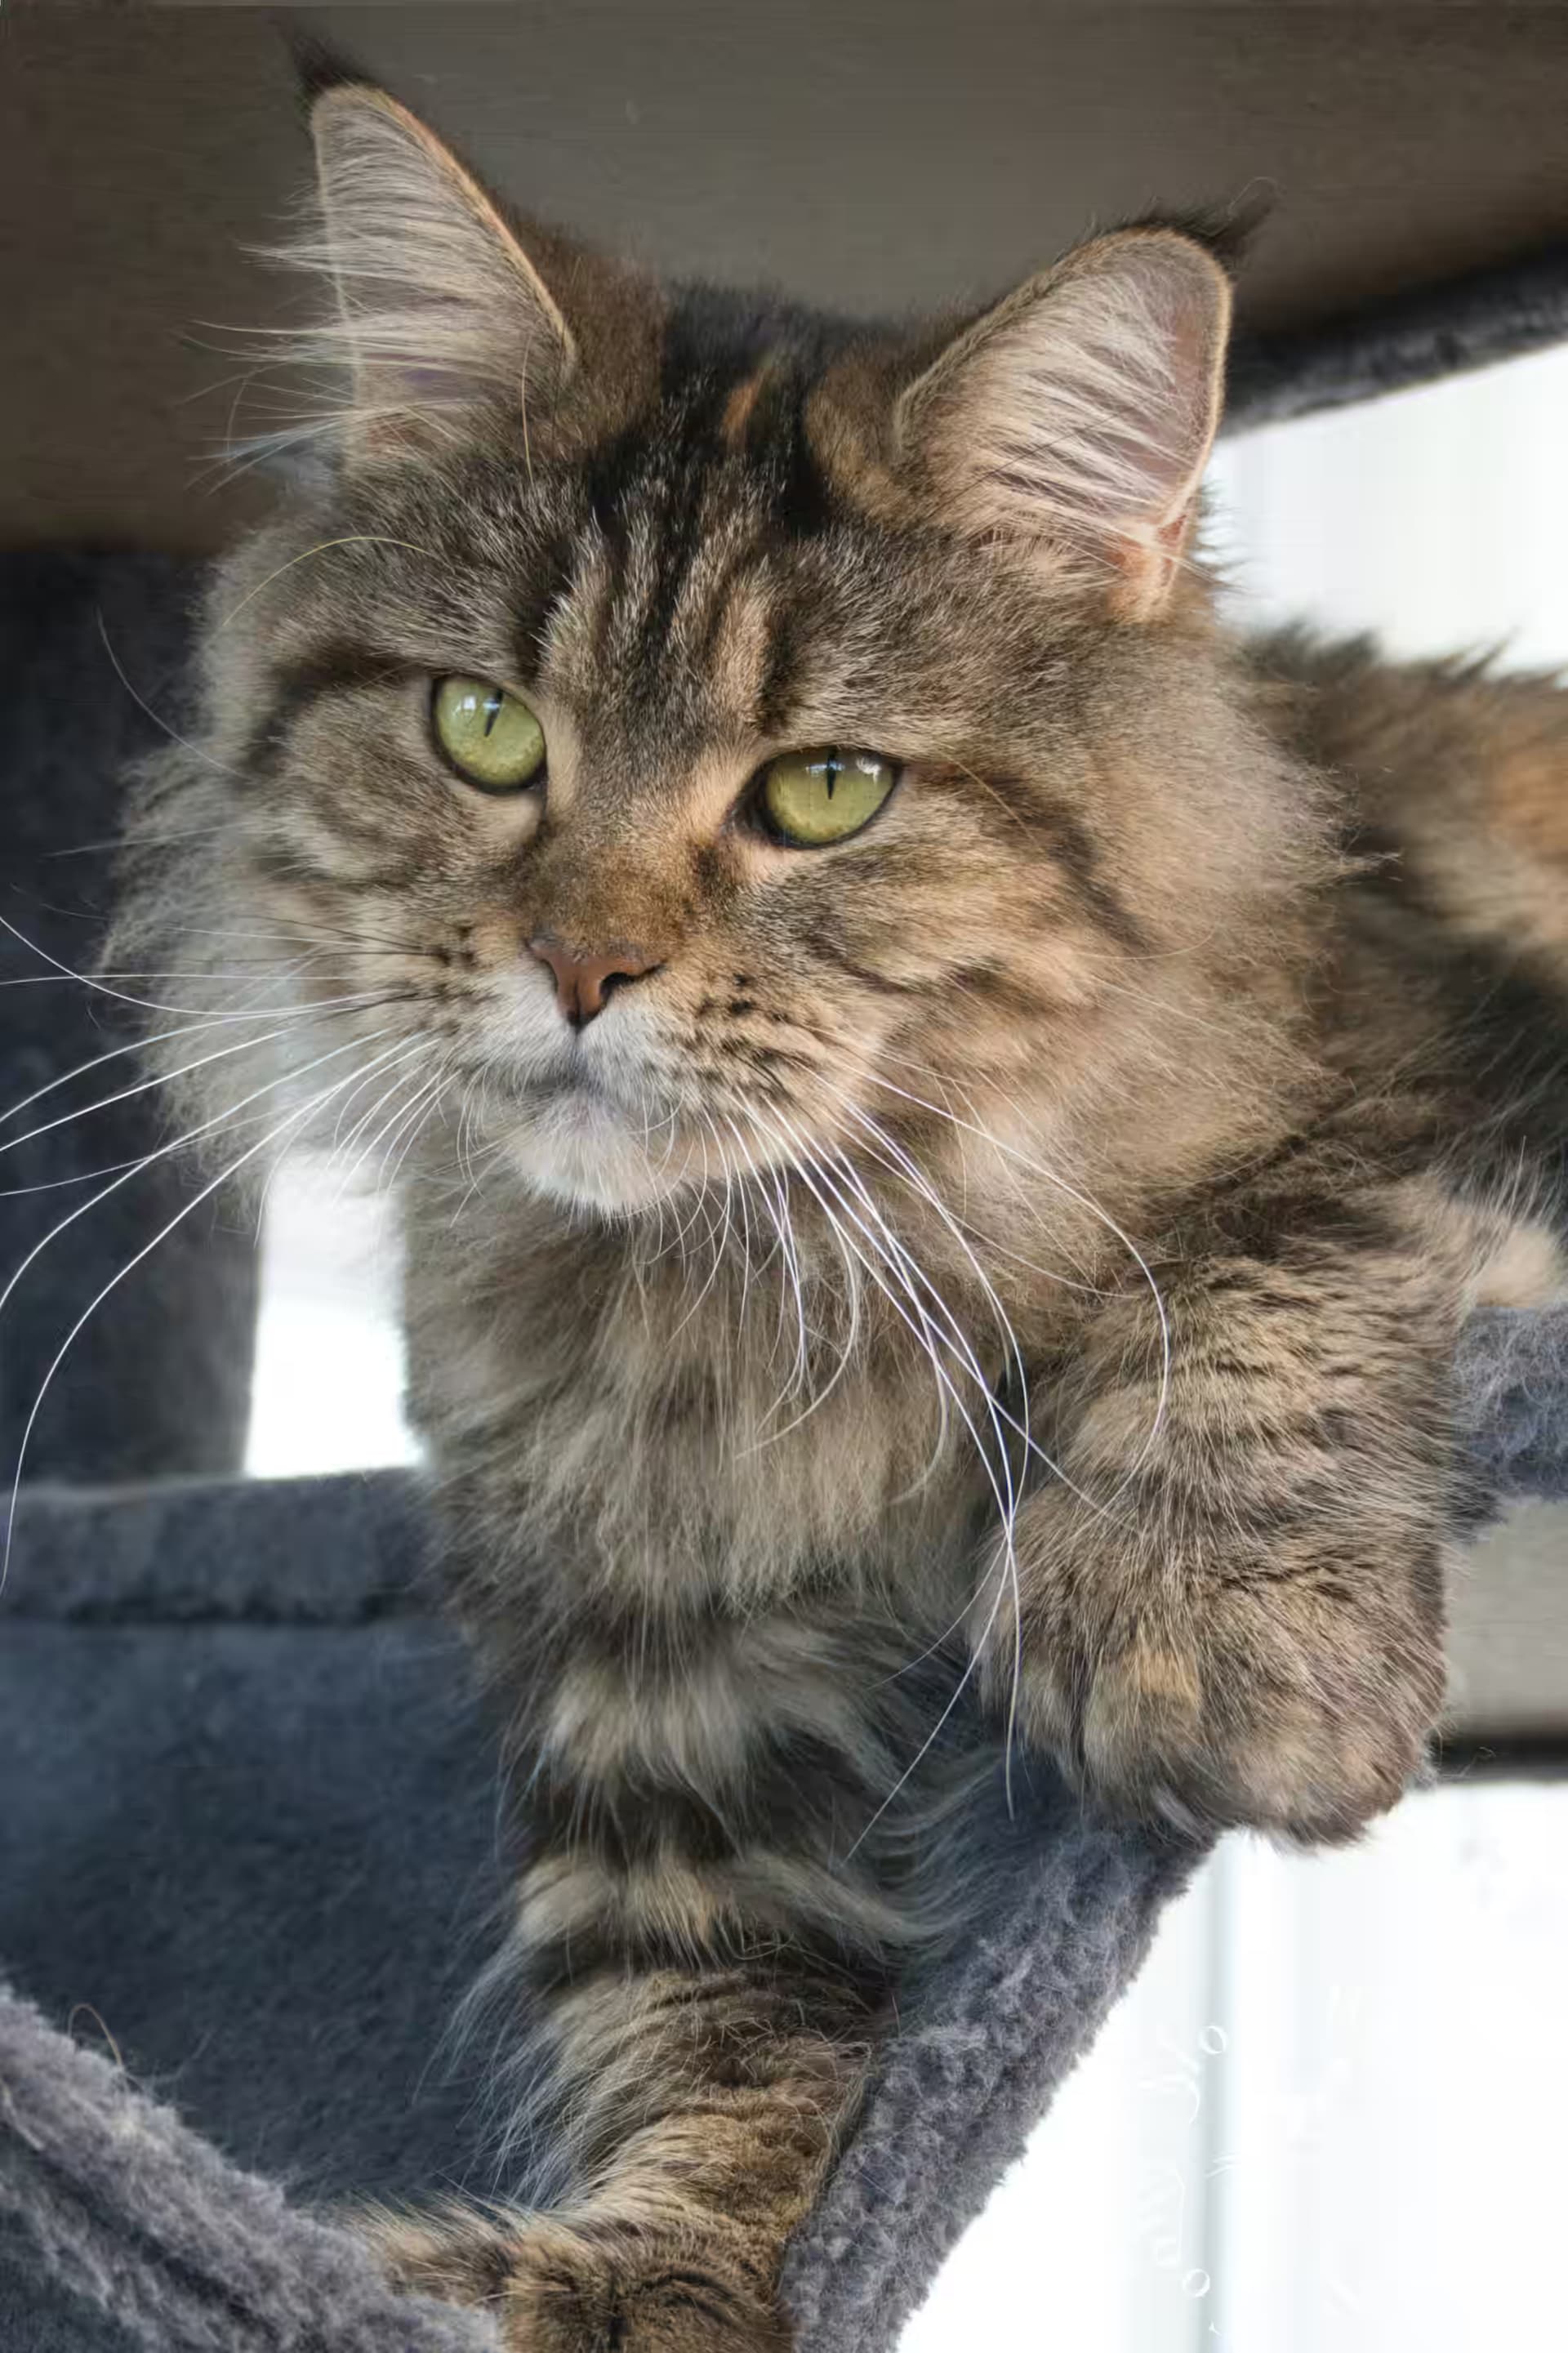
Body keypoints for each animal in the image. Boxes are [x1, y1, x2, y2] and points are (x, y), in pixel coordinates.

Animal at [109, 74, 1563, 2353]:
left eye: (823, 791)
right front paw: (636, 2276)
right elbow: (711, 2010)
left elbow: (1259, 1258)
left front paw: (1217, 1649)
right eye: (484, 729)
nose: (582, 966)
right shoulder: (662, 1672)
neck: (748, 1283)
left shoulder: (1458, 1090)